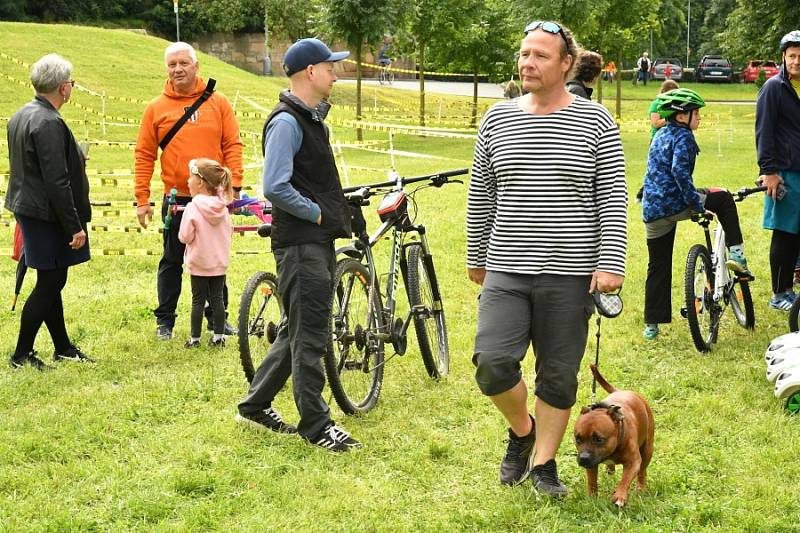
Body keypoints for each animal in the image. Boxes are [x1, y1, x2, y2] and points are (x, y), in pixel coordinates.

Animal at [576, 364, 656, 504]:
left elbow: (625, 480)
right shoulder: (591, 463)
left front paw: (619, 497)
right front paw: (592, 498)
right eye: (578, 439)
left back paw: (641, 488)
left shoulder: (633, 462)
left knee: (642, 471)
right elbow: (592, 481)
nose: (583, 458)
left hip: (647, 449)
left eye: (598, 439)